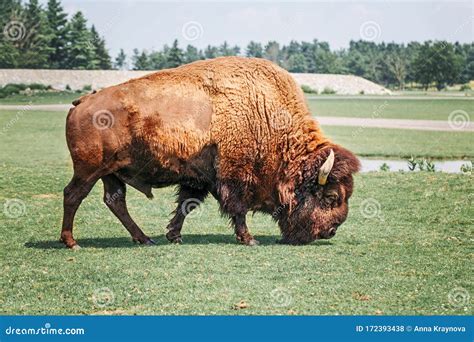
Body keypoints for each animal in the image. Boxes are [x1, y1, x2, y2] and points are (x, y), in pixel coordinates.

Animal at [62, 56, 360, 248]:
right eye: (332, 197)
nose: (330, 231)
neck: (266, 117)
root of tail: (83, 101)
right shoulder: (235, 175)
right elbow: (237, 208)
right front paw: (249, 239)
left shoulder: (198, 179)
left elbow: (187, 204)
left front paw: (173, 235)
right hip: (88, 171)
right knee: (73, 195)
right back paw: (72, 242)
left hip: (111, 173)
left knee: (115, 201)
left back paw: (144, 238)